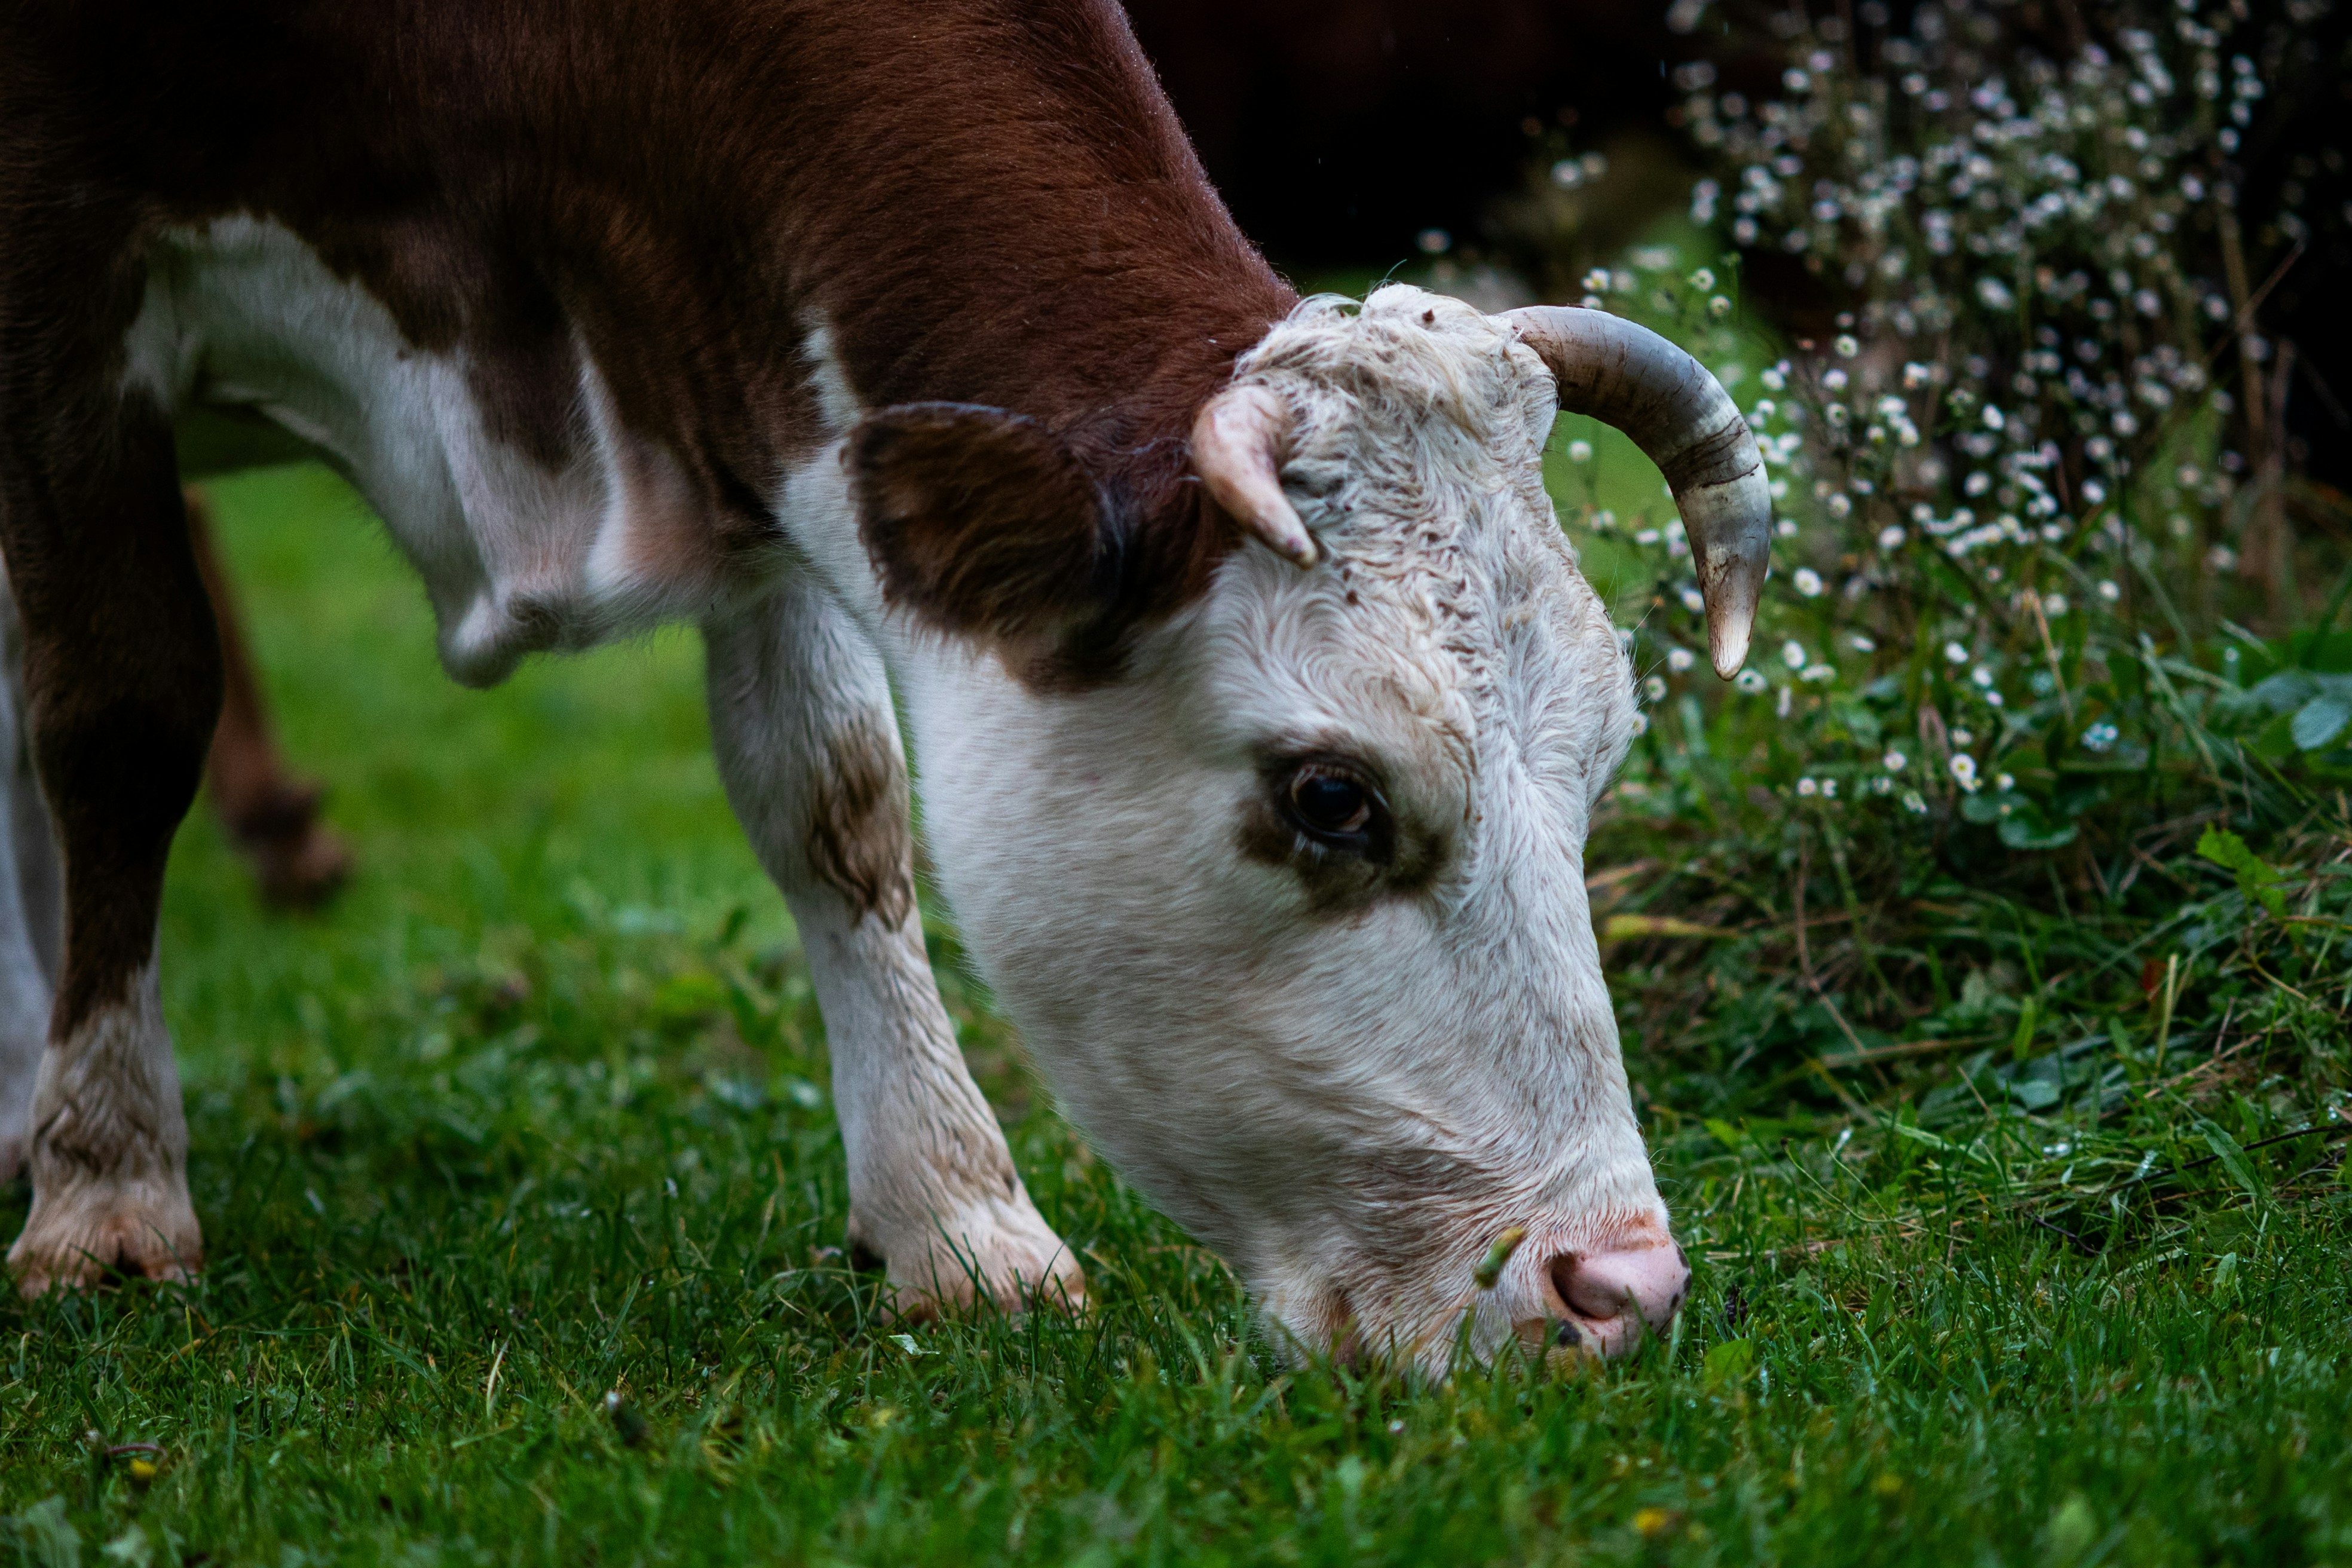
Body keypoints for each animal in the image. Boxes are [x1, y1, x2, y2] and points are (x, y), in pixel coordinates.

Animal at [0, 0, 1766, 1371]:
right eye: (1332, 794)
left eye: (1596, 773)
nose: (1616, 1287)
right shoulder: (62, 287)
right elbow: (120, 719)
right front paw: (110, 1193)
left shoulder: (748, 397)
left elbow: (834, 797)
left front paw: (955, 1221)